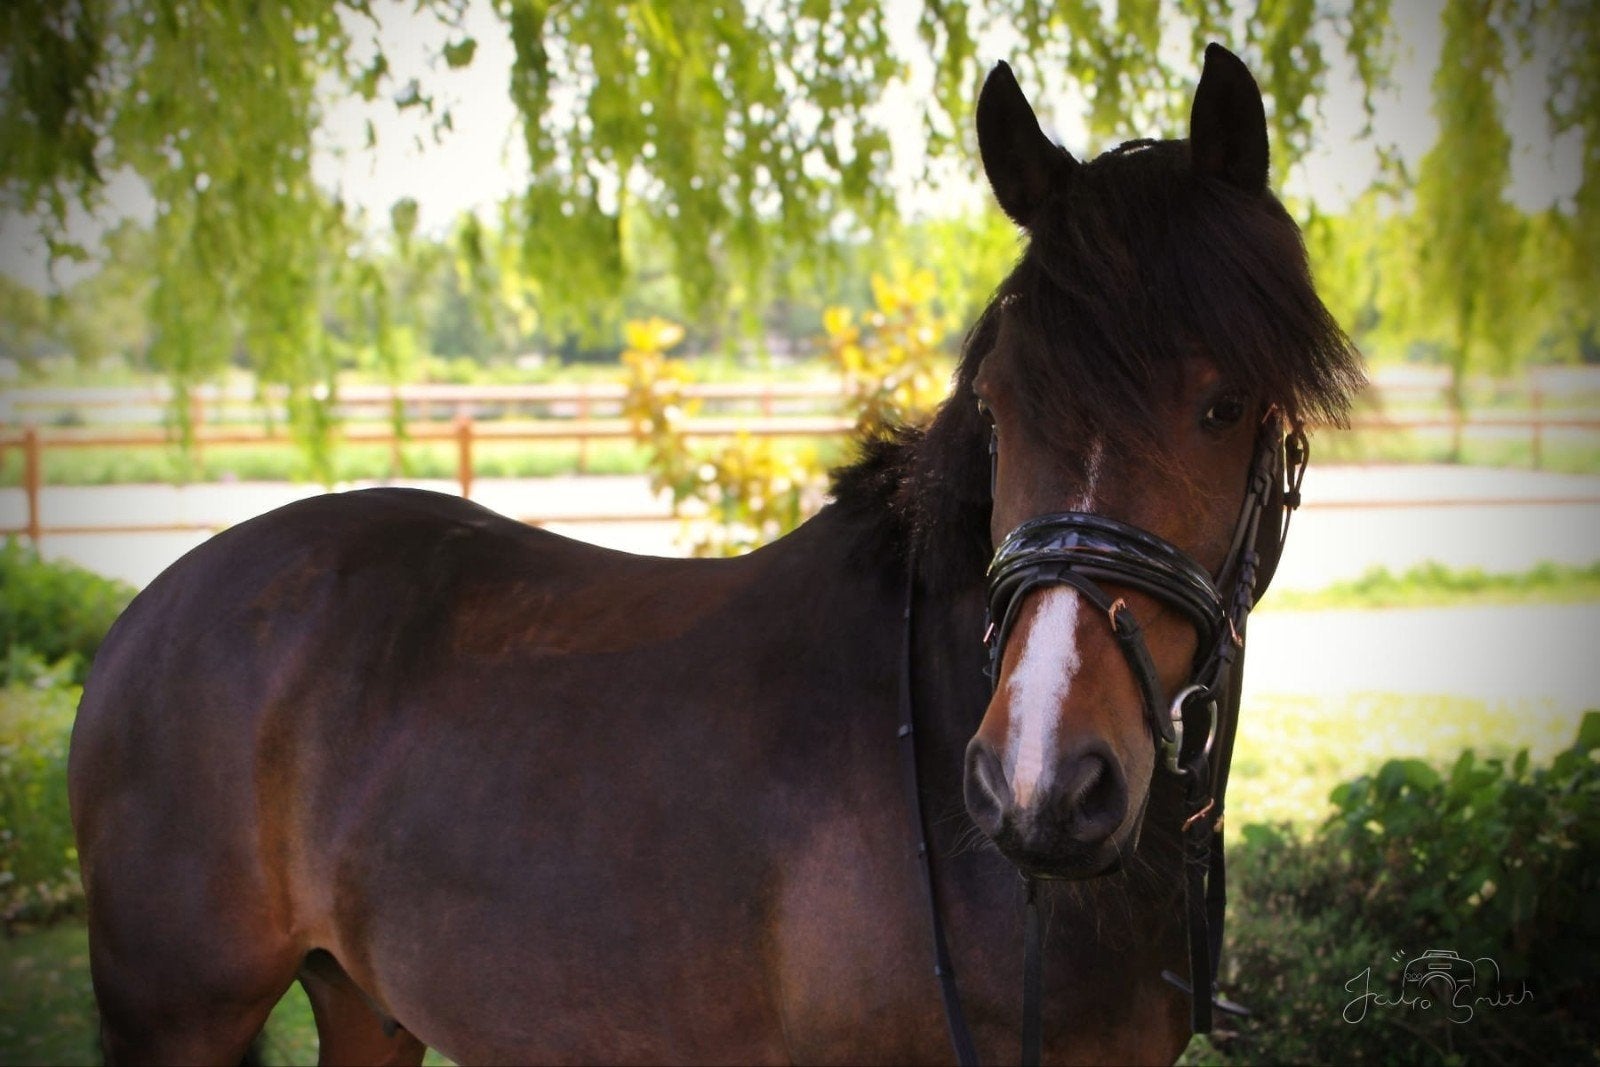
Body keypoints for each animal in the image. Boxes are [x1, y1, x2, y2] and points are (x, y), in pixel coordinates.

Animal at [70, 44, 1362, 1065]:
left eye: (1223, 404)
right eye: (1002, 402)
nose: (1041, 782)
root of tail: (151, 609)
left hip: (364, 1006)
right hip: (176, 1014)